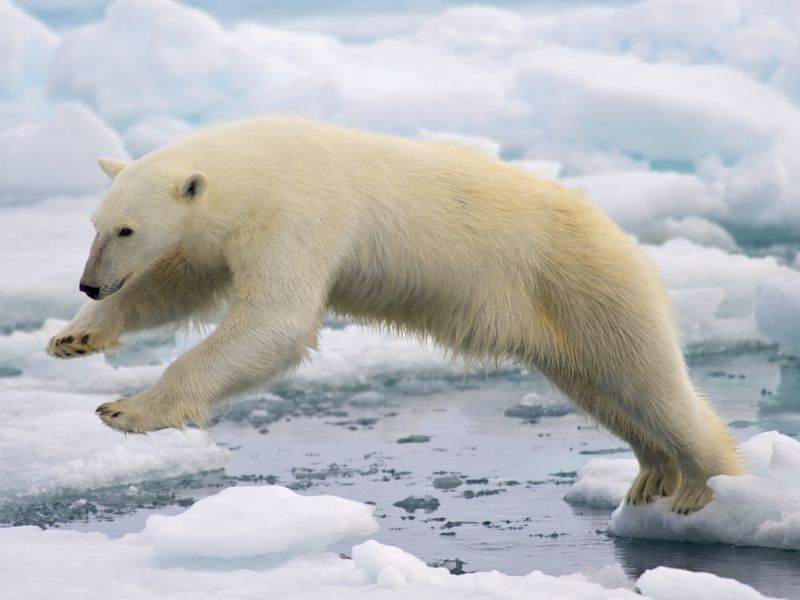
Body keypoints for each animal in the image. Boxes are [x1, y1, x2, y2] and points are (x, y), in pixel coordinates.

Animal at [47, 116, 740, 510]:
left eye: (127, 229)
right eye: (96, 224)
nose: (89, 284)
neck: (257, 165)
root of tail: (619, 234)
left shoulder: (300, 214)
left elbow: (276, 320)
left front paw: (127, 409)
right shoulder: (224, 233)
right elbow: (180, 283)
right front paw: (74, 338)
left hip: (587, 284)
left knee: (648, 381)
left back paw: (704, 486)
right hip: (559, 320)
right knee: (602, 390)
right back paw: (652, 474)